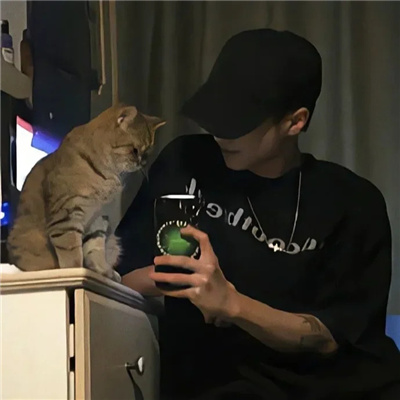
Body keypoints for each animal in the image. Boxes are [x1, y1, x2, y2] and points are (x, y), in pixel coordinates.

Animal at [7, 104, 165, 282]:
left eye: (147, 153)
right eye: (135, 150)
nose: (142, 163)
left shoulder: (98, 218)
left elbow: (95, 250)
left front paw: (102, 271)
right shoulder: (67, 216)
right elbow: (72, 254)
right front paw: (76, 270)